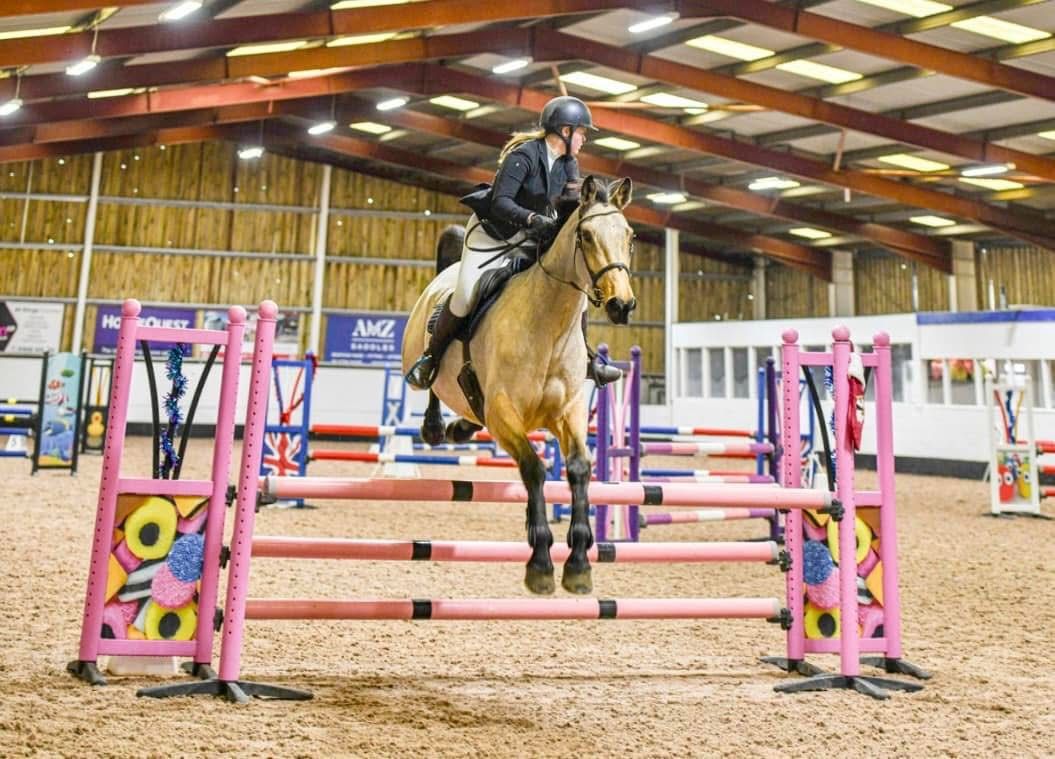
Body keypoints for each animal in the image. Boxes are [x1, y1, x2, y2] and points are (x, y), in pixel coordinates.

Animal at [400, 175, 632, 595]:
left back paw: (460, 427)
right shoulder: (503, 414)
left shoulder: (570, 410)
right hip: (419, 359)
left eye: (630, 236)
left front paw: (578, 564)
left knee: (467, 409)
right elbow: (534, 469)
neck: (548, 325)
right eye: (586, 235)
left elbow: (579, 468)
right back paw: (435, 425)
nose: (622, 305)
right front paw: (540, 563)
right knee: (431, 380)